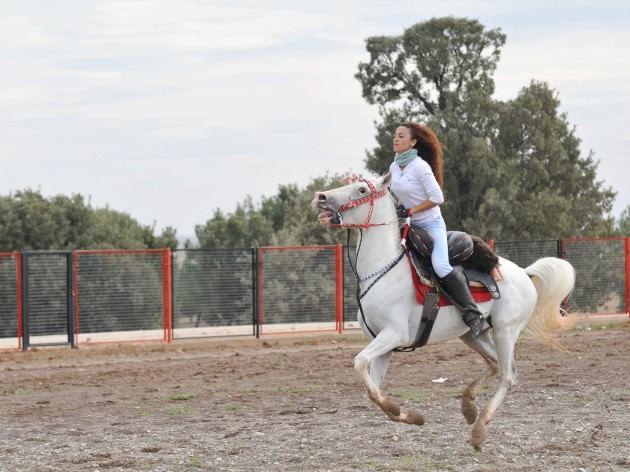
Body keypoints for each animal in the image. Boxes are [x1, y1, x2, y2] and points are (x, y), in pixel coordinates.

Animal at [314, 175, 576, 448]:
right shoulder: (383, 344)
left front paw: (403, 412)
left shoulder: (393, 335)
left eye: (362, 189)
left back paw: (479, 429)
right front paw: (410, 416)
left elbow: (359, 362)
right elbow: (372, 389)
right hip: (473, 334)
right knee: (495, 364)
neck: (383, 271)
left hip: (506, 331)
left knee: (508, 376)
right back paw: (468, 408)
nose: (321, 197)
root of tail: (524, 273)